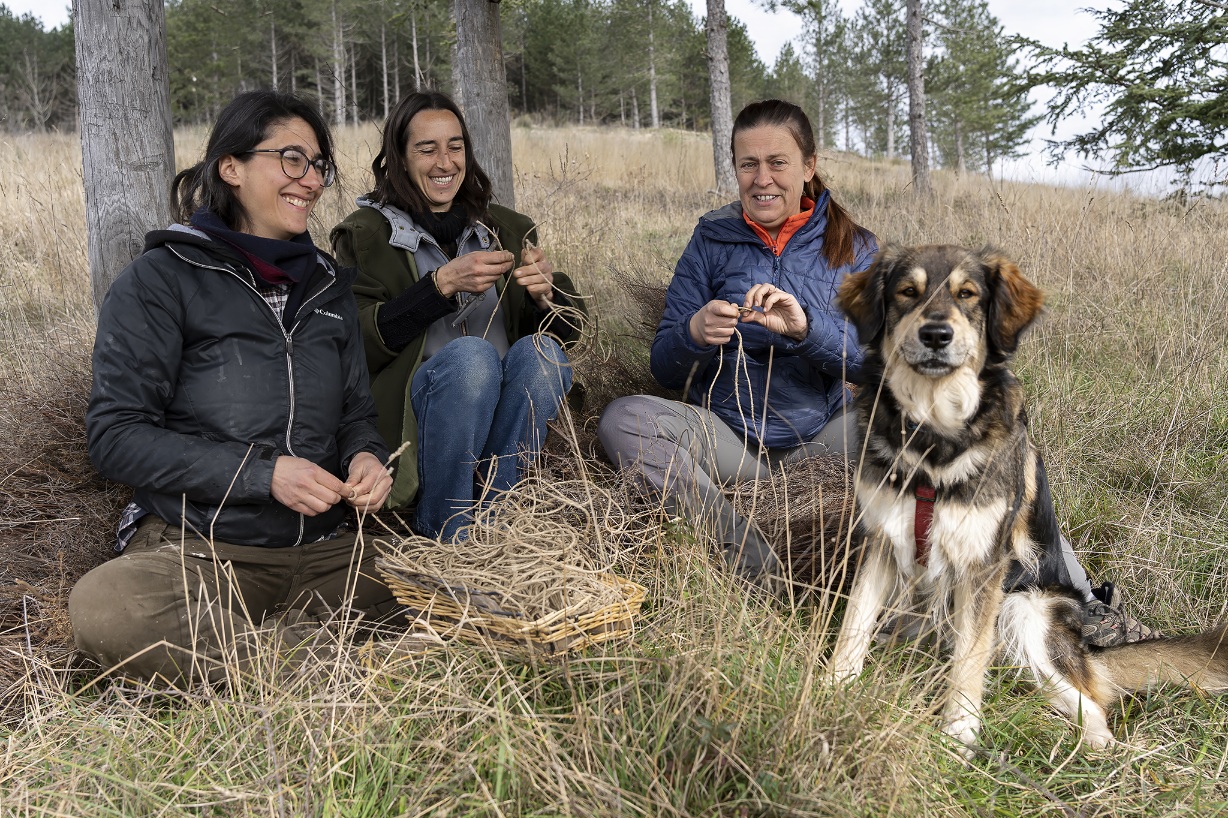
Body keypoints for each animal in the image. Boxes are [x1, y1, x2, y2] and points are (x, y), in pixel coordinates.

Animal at [825, 243, 1228, 751]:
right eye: (907, 292)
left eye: (967, 294)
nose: (936, 335)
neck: (935, 436)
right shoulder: (881, 540)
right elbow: (854, 625)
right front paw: (834, 688)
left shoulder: (983, 566)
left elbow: (969, 659)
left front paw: (959, 733)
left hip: (1024, 609)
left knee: (1090, 698)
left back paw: (1091, 742)